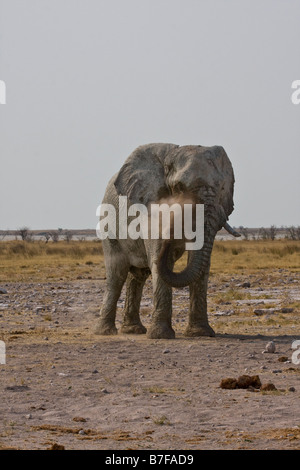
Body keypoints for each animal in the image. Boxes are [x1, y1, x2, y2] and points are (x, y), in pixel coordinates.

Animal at [95, 141, 240, 340]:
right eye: (179, 188)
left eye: (222, 189)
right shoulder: (150, 205)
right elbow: (157, 254)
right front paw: (161, 335)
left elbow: (201, 265)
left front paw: (201, 333)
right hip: (108, 225)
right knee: (117, 274)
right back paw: (106, 332)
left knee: (138, 276)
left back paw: (133, 330)